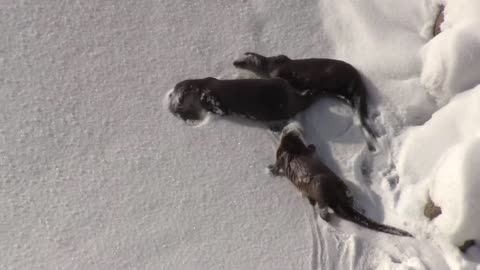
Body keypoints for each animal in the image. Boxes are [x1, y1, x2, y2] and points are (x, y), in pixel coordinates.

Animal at [233, 51, 378, 151]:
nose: (234, 62)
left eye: (242, 61)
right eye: (236, 58)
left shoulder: (279, 70)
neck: (270, 65)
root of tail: (358, 79)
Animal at [270, 121, 412, 237]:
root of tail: (337, 197)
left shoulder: (282, 154)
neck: (294, 146)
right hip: (342, 186)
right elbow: (311, 150)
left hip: (319, 186)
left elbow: (278, 164)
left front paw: (270, 170)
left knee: (323, 209)